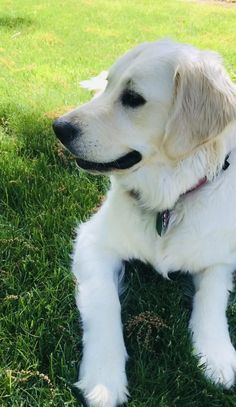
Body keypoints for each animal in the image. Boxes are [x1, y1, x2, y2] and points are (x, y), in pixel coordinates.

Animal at [53, 40, 236, 407]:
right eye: (111, 86)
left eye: (133, 98)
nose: (59, 128)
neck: (168, 200)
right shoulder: (93, 241)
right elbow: (104, 302)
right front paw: (104, 378)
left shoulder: (220, 256)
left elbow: (213, 297)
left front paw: (217, 355)